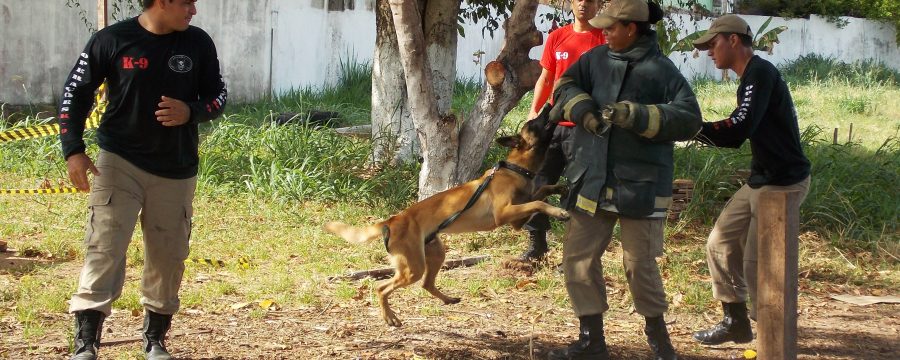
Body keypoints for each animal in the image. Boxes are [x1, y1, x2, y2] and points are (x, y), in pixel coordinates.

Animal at [326, 112, 568, 326]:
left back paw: (447, 299)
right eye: (533, 124)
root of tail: (392, 220)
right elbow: (538, 203)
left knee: (426, 284)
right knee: (382, 288)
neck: (515, 170)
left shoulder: (517, 219)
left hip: (434, 255)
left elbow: (539, 194)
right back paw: (390, 317)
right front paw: (559, 211)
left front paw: (558, 188)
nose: (548, 107)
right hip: (412, 267)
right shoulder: (504, 214)